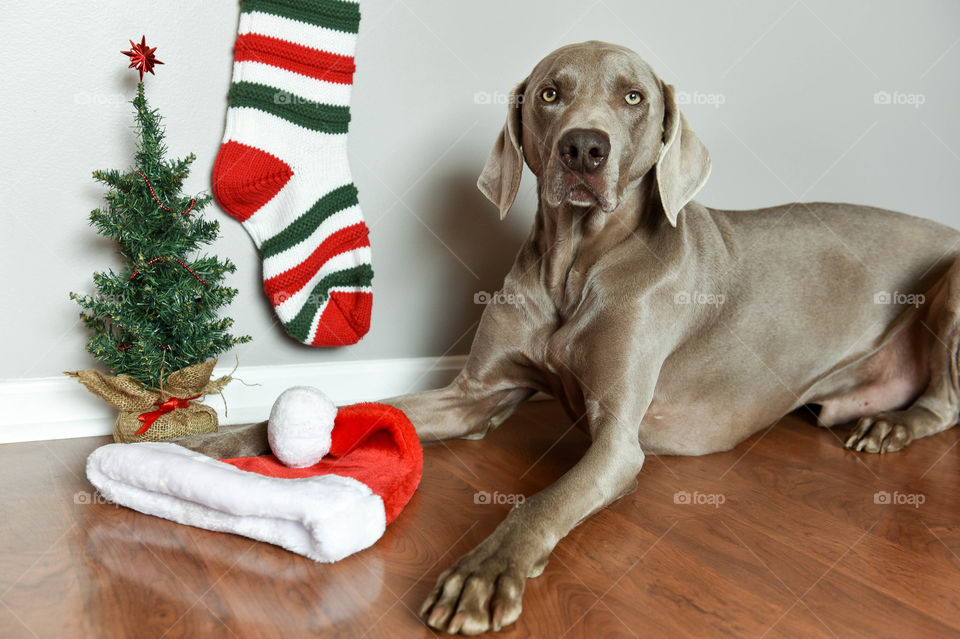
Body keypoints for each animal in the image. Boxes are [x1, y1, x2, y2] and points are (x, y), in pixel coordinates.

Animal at [180, 42, 960, 636]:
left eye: (634, 97)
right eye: (551, 93)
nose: (585, 147)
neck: (576, 266)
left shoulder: (618, 443)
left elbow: (540, 502)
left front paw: (483, 572)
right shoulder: (476, 396)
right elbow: (358, 412)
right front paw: (215, 441)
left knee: (944, 403)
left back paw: (891, 426)